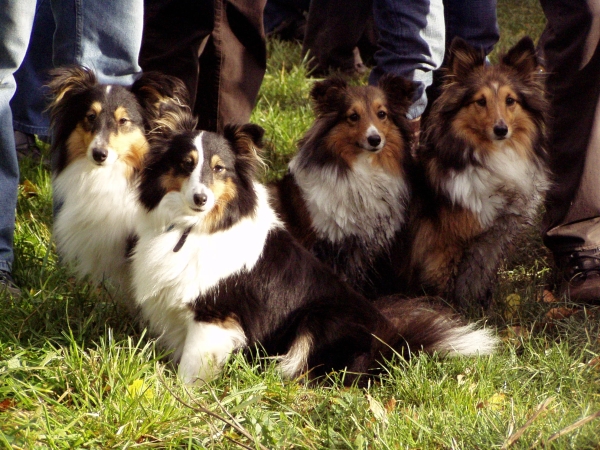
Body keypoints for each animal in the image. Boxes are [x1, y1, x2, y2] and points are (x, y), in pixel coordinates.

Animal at [131, 110, 496, 384]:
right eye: (185, 163)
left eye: (219, 168)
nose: (201, 198)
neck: (193, 228)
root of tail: (394, 347)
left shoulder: (214, 317)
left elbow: (191, 369)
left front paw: (182, 394)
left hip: (320, 317)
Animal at [400, 37, 552, 312]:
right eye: (480, 101)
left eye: (510, 100)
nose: (501, 130)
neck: (491, 155)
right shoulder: (444, 241)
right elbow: (445, 278)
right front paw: (450, 312)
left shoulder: (492, 237)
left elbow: (478, 276)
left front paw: (479, 308)